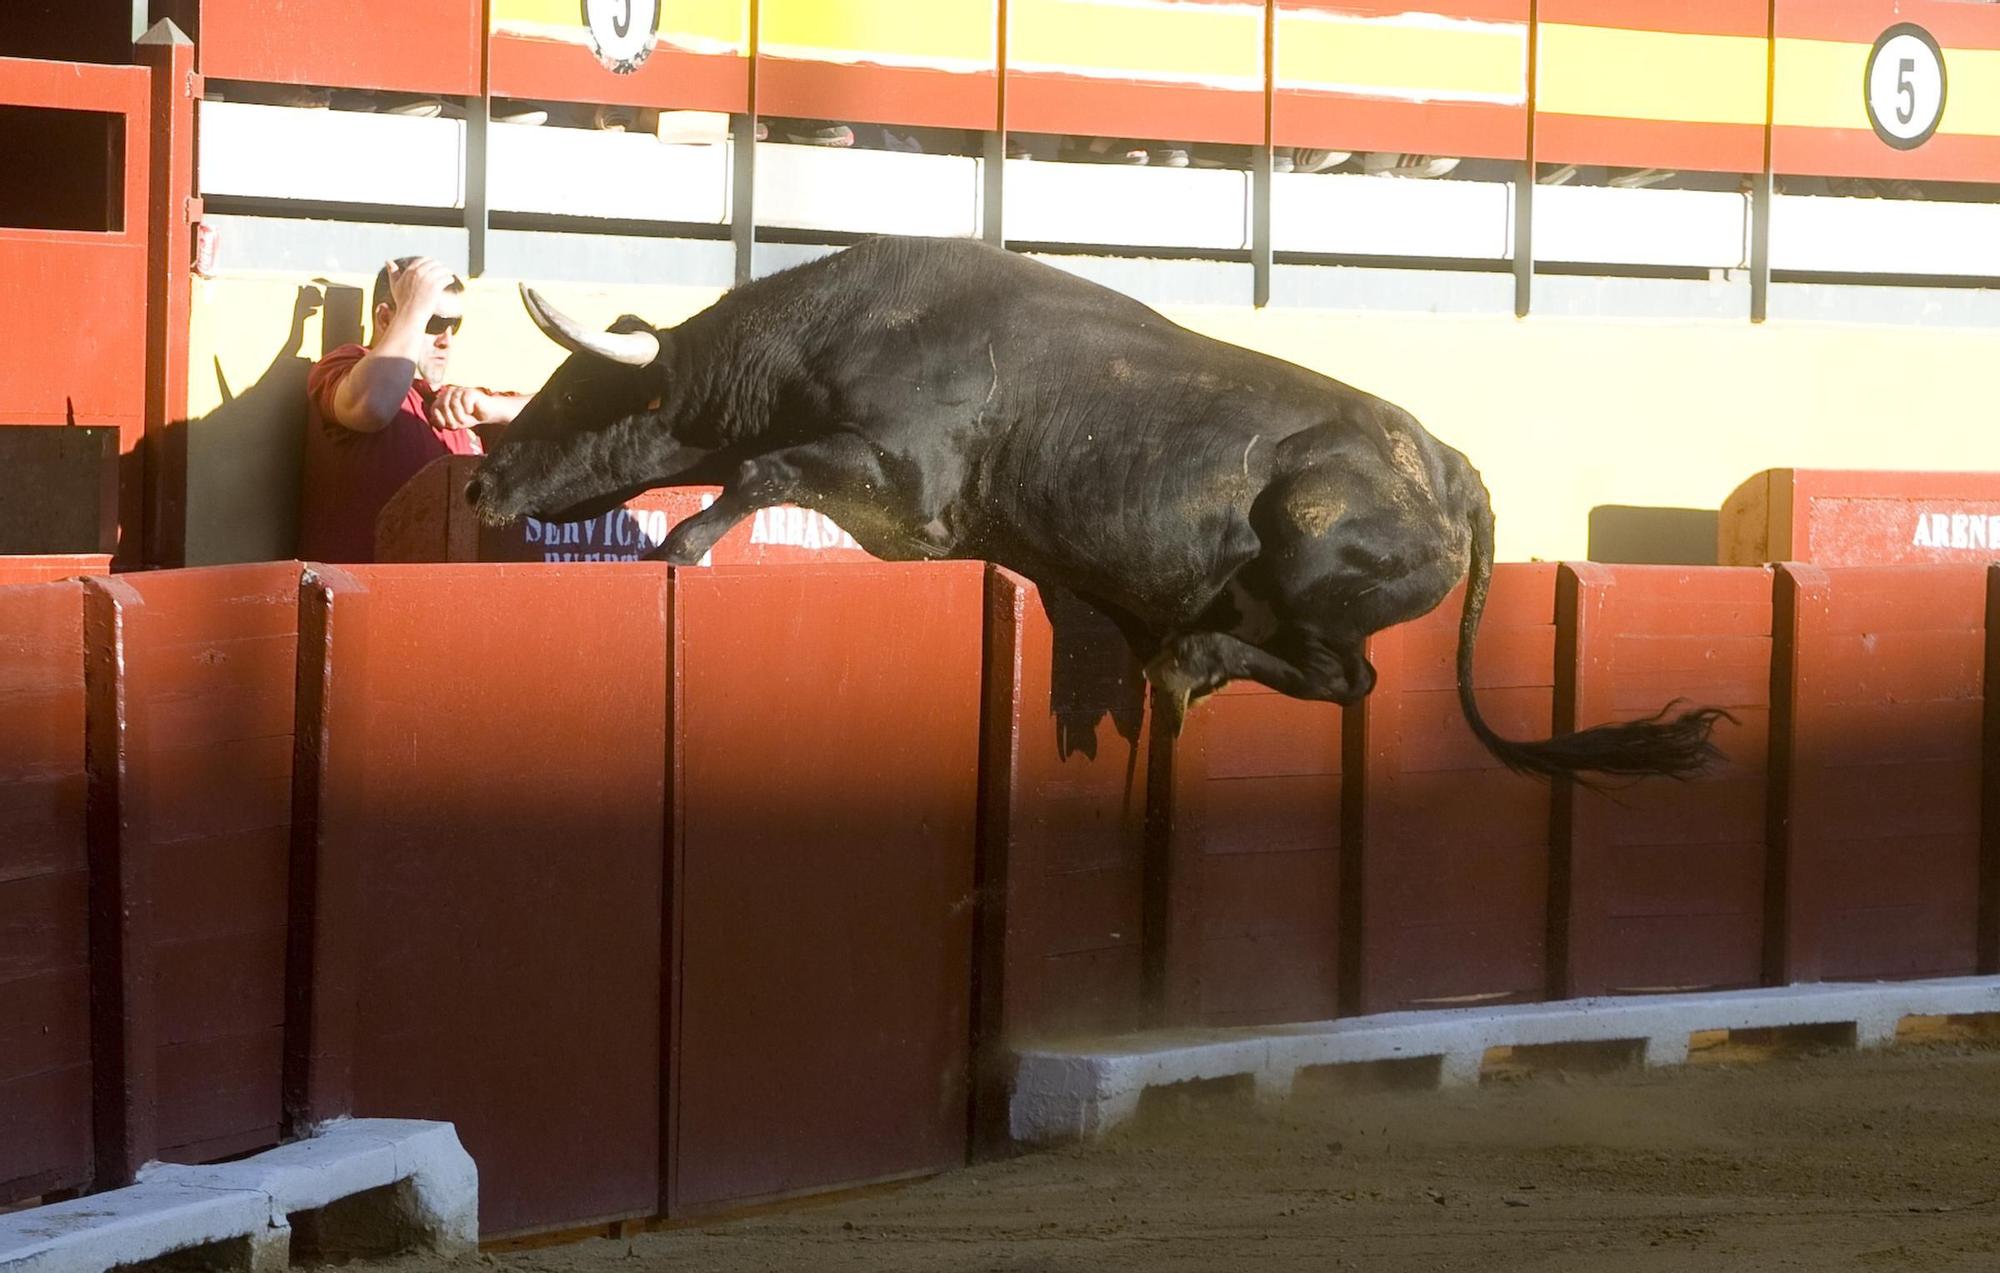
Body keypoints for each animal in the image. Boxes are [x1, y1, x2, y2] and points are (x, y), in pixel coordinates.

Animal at [464, 235, 1720, 780]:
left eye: (573, 389)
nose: (478, 480)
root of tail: (1453, 467)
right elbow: (768, 473)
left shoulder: (904, 487)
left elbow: (761, 473)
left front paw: (677, 547)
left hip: (1312, 560)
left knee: (1343, 678)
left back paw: (1183, 664)